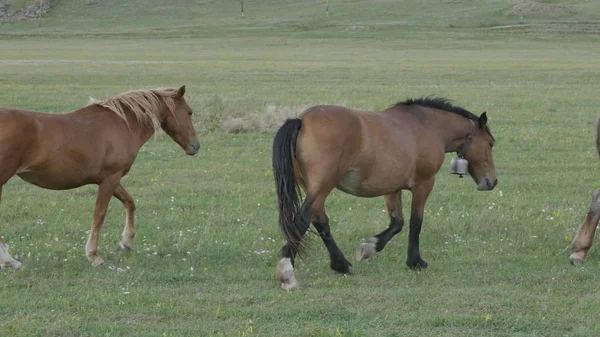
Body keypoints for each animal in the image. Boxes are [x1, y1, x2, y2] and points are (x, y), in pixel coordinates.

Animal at [272, 96, 496, 288]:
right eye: (491, 144)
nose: (492, 181)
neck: (428, 126)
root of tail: (302, 120)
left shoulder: (392, 188)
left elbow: (397, 223)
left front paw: (369, 247)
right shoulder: (424, 184)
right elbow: (416, 222)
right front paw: (415, 261)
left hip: (315, 190)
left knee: (320, 223)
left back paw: (341, 265)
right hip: (321, 188)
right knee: (300, 222)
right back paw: (287, 272)